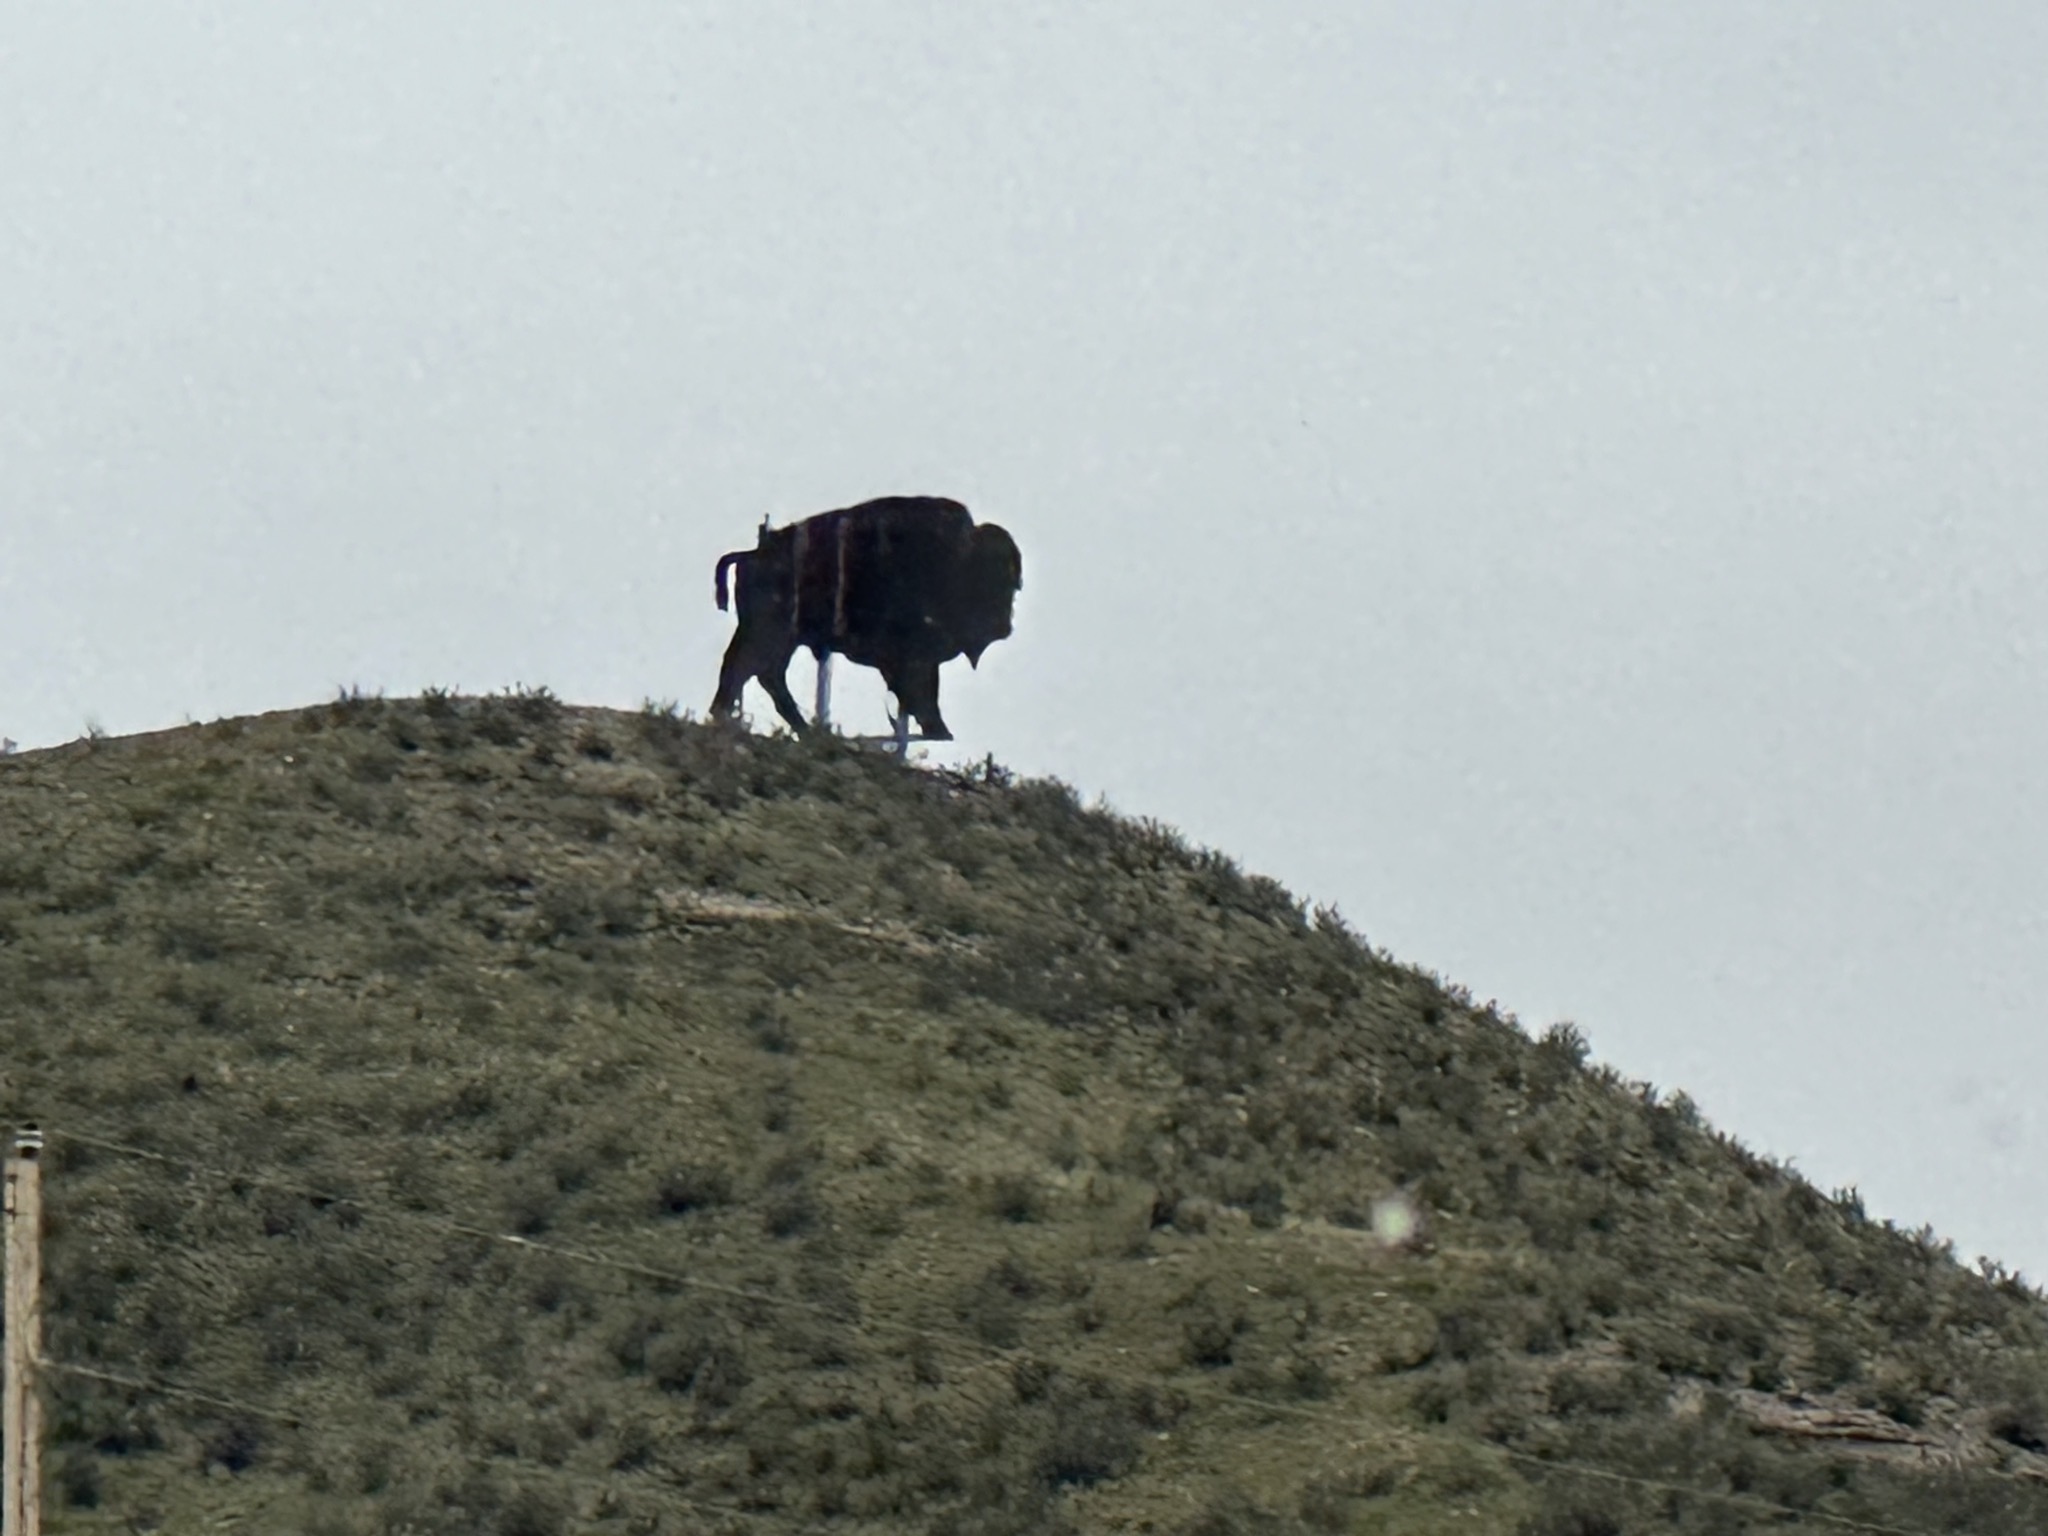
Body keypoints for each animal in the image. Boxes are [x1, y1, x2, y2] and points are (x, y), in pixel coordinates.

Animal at [710, 495, 1023, 742]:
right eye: (1000, 582)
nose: (1006, 623)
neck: (959, 560)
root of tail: (754, 554)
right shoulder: (914, 658)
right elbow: (921, 692)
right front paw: (936, 730)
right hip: (771, 633)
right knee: (749, 669)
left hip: (777, 637)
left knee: (759, 672)